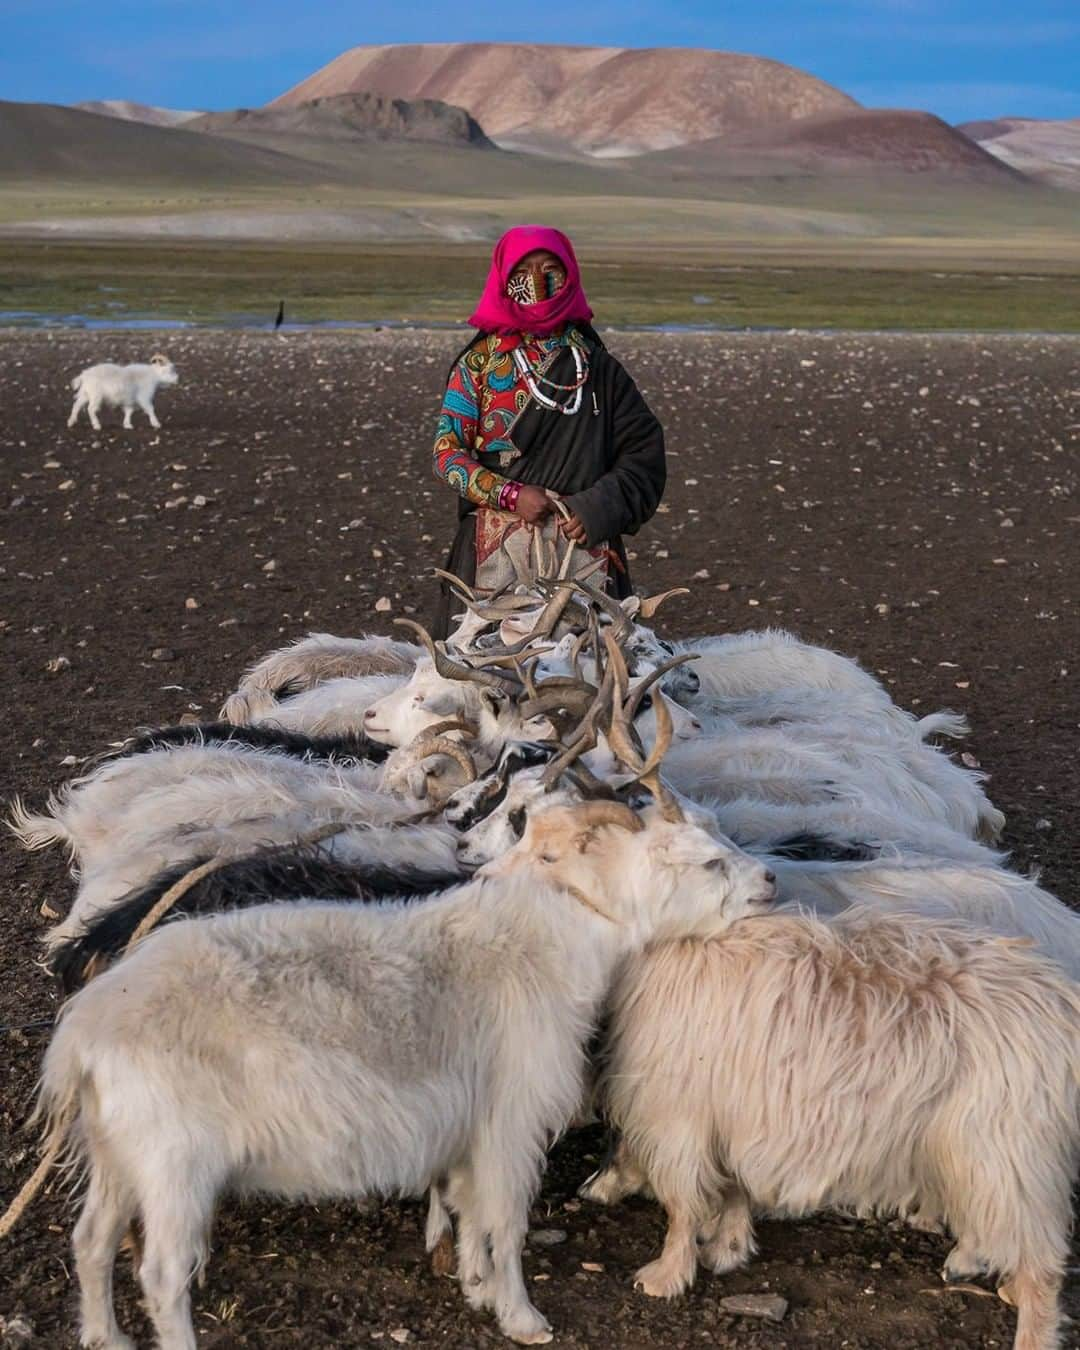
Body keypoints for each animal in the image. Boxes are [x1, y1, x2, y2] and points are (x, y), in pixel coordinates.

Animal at [31, 804, 777, 1344]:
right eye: (709, 861)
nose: (770, 880)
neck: (550, 941)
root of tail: (85, 1032)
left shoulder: (472, 1132)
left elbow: (471, 1210)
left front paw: (475, 1287)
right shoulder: (510, 1123)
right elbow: (506, 1221)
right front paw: (523, 1318)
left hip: (118, 1153)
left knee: (91, 1242)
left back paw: (105, 1338)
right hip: (174, 1165)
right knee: (160, 1274)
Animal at [599, 907, 1080, 1350]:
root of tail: (1060, 1001)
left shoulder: (678, 1120)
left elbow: (681, 1204)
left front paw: (666, 1274)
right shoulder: (736, 1115)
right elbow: (734, 1187)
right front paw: (727, 1250)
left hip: (1003, 1153)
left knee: (1042, 1262)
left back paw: (1031, 1330)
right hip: (985, 1157)